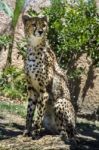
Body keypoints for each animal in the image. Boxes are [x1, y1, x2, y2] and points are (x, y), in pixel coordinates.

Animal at [22, 14, 75, 142]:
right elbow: (29, 113)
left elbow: (39, 114)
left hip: (61, 102)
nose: (40, 31)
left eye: (44, 25)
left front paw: (35, 134)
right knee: (59, 130)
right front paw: (27, 131)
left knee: (68, 132)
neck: (34, 47)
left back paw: (65, 136)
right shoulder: (32, 90)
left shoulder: (44, 92)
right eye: (34, 24)